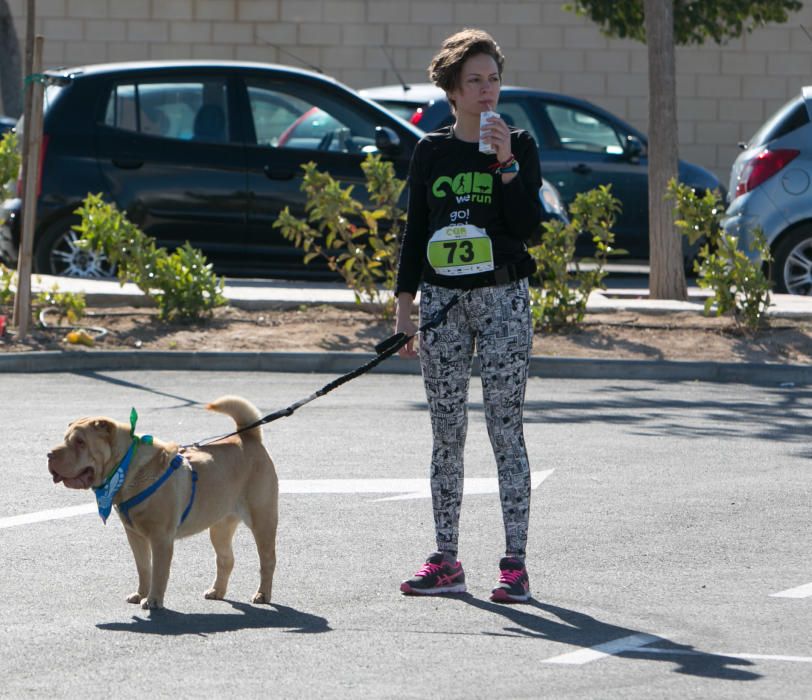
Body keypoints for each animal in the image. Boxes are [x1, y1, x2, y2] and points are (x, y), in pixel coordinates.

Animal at [47, 396, 278, 608]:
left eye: (80, 442)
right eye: (65, 439)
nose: (49, 454)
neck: (126, 466)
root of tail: (248, 437)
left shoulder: (161, 538)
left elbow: (159, 571)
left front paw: (153, 600)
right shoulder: (134, 535)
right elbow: (144, 567)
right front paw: (140, 594)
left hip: (262, 521)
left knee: (267, 560)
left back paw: (262, 594)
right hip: (220, 527)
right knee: (226, 559)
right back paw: (217, 591)